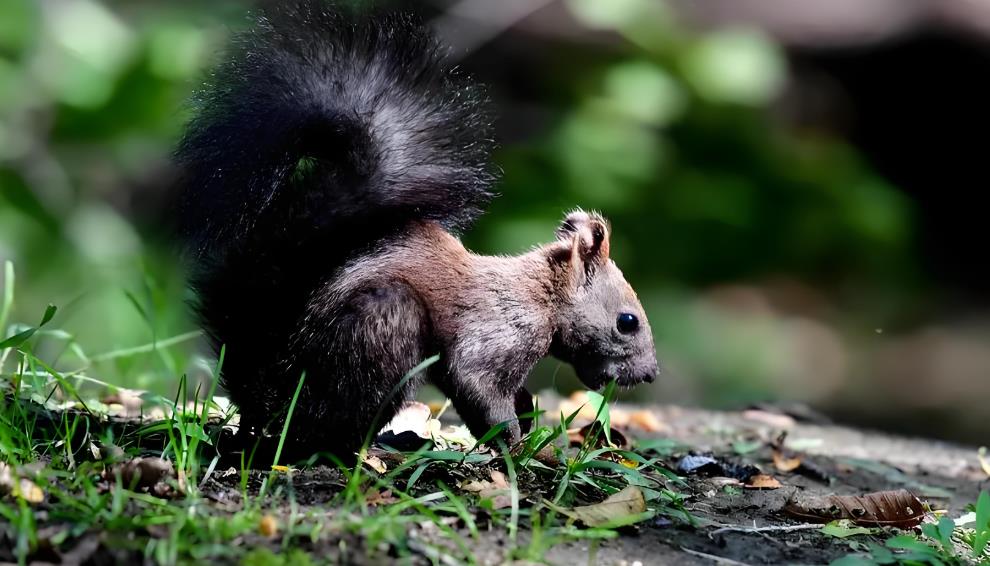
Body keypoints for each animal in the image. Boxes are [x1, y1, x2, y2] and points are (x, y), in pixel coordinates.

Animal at [175, 0, 664, 464]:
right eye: (627, 322)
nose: (650, 374)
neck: (539, 295)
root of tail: (271, 391)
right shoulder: (493, 334)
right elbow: (478, 387)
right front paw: (518, 448)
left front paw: (529, 424)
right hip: (384, 325)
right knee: (322, 430)